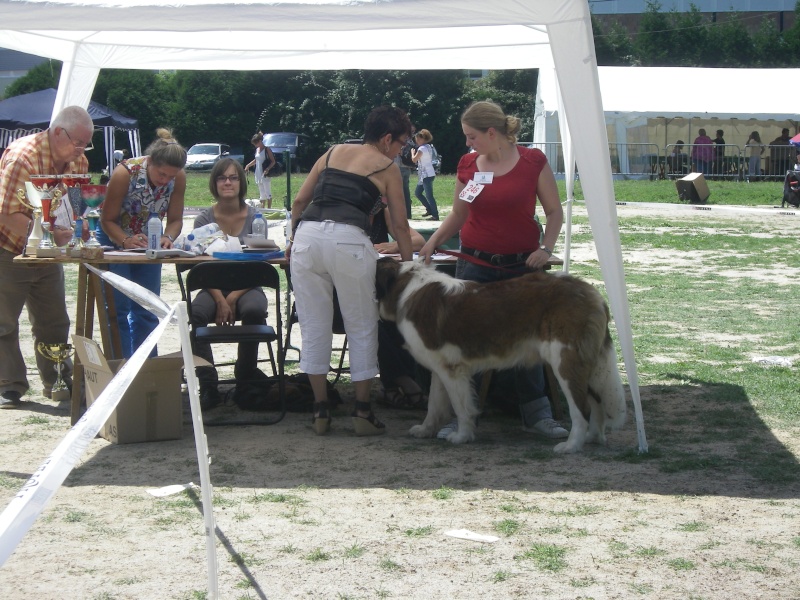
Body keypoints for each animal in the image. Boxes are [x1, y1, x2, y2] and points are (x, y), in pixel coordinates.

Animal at [372, 258, 628, 454]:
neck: (405, 287)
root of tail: (591, 292)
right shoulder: (439, 367)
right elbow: (434, 405)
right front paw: (425, 430)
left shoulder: (452, 370)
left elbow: (461, 407)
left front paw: (462, 436)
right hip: (589, 364)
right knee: (596, 401)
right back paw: (593, 437)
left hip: (565, 361)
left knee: (582, 407)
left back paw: (571, 445)